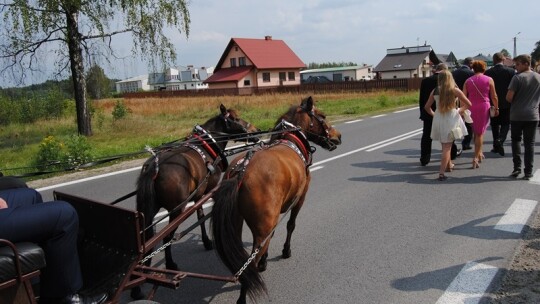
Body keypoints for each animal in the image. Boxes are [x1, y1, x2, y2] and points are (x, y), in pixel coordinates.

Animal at [130, 104, 258, 300]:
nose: (256, 131)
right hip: (178, 208)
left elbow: (200, 215)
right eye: (235, 118)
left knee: (147, 239)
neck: (206, 146)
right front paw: (208, 241)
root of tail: (154, 167)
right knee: (166, 236)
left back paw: (139, 279)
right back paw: (169, 264)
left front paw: (205, 241)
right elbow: (202, 216)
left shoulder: (198, 194)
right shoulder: (208, 191)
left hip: (148, 209)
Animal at [211, 97, 342, 304]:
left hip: (238, 222)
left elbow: (271, 236)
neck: (290, 140)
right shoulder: (300, 197)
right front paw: (286, 251)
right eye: (322, 116)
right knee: (251, 261)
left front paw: (265, 261)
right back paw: (243, 295)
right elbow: (291, 225)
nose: (338, 136)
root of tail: (241, 172)